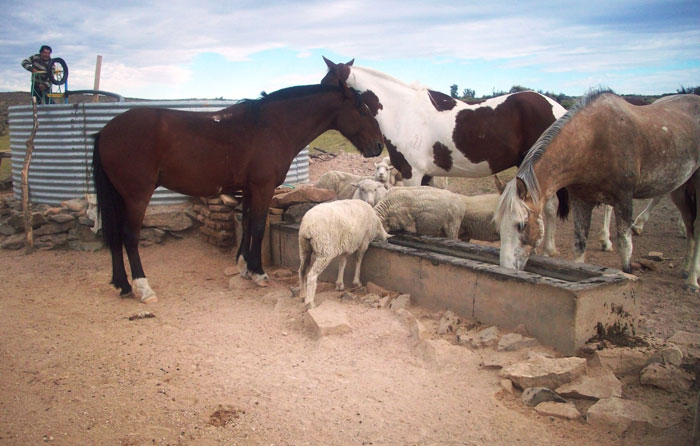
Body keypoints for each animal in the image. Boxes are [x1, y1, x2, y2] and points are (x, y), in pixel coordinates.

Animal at [92, 82, 382, 302]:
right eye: (361, 108)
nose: (379, 146)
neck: (272, 127)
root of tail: (106, 131)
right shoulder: (263, 187)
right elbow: (258, 226)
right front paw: (259, 273)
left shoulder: (249, 189)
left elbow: (247, 222)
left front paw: (244, 267)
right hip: (136, 196)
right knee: (129, 237)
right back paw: (143, 287)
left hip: (118, 196)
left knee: (115, 235)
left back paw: (122, 285)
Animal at [322, 57, 568, 256]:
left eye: (326, 84)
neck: (402, 111)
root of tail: (558, 108)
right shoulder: (427, 176)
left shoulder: (412, 173)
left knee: (549, 207)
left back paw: (547, 251)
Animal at [494, 90, 700, 290]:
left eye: (522, 225)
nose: (506, 268)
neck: (593, 141)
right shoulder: (581, 201)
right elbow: (579, 245)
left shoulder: (623, 199)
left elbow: (625, 247)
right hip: (680, 189)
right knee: (690, 228)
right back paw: (685, 269)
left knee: (695, 228)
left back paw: (692, 281)